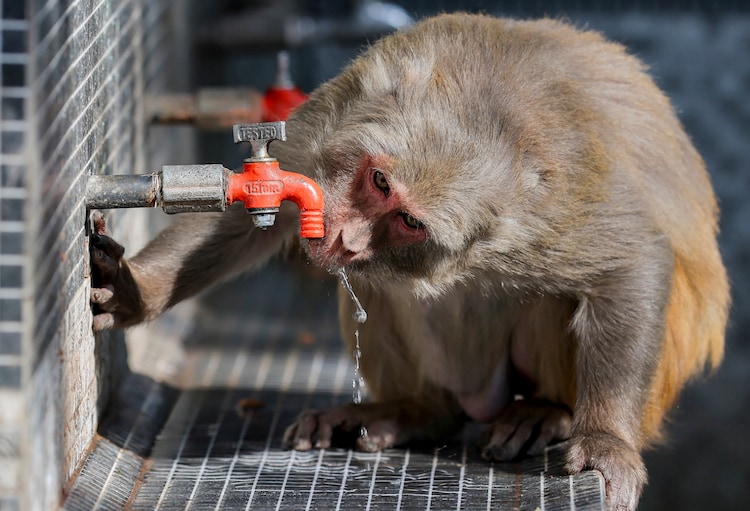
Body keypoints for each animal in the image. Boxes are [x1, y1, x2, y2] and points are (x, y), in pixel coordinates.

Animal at [90, 13, 729, 510]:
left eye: (410, 220)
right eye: (377, 180)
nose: (345, 238)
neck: (485, 101)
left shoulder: (550, 207)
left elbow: (630, 261)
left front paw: (605, 440)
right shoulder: (343, 109)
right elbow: (248, 202)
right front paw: (140, 291)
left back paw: (549, 412)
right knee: (385, 289)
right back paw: (415, 412)